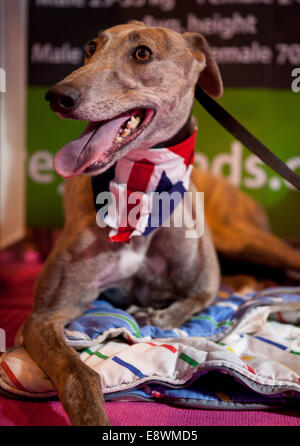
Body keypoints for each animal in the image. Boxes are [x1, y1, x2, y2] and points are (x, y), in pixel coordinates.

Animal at [20, 20, 300, 426]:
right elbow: (79, 374)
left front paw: (159, 313)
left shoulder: (204, 283)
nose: (57, 96)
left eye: (142, 53)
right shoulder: (45, 316)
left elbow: (192, 301)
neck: (143, 190)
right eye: (91, 47)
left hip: (247, 240)